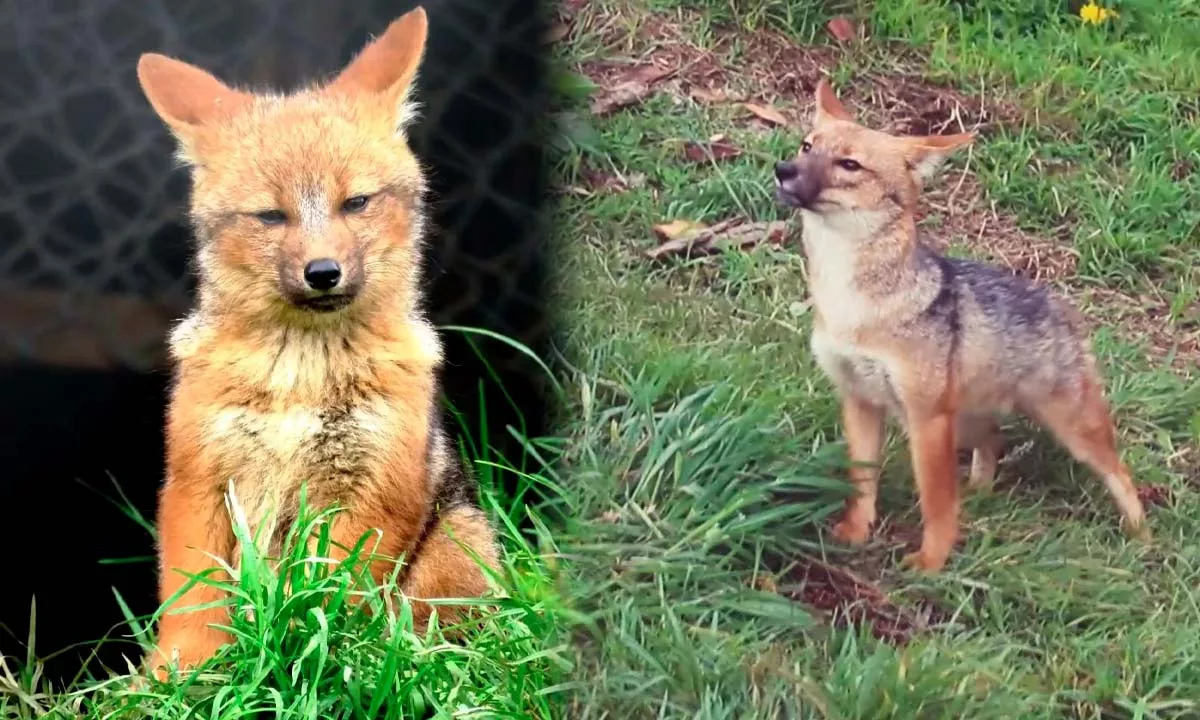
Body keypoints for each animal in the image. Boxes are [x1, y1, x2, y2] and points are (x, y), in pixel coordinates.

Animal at [134, 7, 499, 679]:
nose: (323, 272)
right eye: (271, 216)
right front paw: (177, 678)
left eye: (355, 202)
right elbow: (192, 605)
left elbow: (328, 603)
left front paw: (317, 664)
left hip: (456, 540)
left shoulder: (376, 489)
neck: (298, 380)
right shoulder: (197, 479)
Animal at [773, 79, 1149, 572]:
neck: (852, 307)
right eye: (806, 146)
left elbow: (936, 501)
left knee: (1120, 473)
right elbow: (862, 481)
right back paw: (981, 491)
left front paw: (931, 563)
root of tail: (1058, 302)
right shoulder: (859, 399)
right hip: (967, 421)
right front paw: (856, 533)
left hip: (1072, 429)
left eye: (849, 164)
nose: (782, 169)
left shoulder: (926, 419)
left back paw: (1142, 537)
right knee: (994, 439)